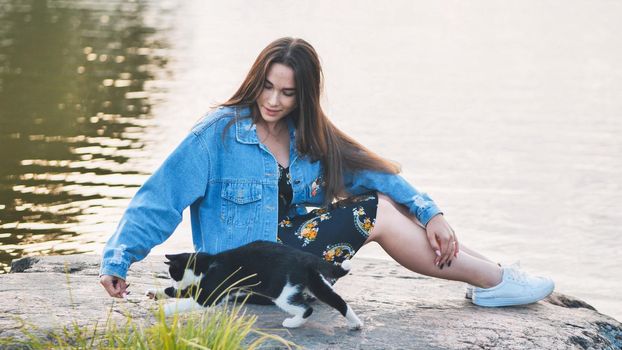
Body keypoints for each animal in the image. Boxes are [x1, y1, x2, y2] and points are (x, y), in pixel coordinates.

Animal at [147, 239, 366, 330]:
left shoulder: (209, 295)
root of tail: (306, 257)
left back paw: (292, 323)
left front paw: (163, 311)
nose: (174, 281)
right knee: (339, 302)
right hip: (315, 283)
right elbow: (179, 293)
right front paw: (156, 292)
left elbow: (184, 301)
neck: (208, 263)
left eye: (173, 273)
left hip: (281, 292)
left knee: (307, 309)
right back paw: (356, 324)